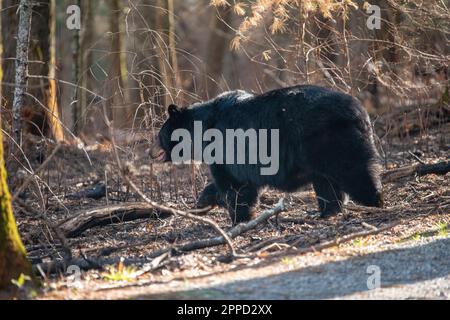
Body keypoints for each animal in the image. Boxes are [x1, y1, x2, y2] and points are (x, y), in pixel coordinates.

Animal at [151, 85, 384, 225]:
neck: (200, 130)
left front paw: (239, 218)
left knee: (354, 170)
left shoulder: (224, 148)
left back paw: (374, 201)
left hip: (330, 141)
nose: (151, 152)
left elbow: (234, 185)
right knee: (327, 183)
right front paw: (204, 199)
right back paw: (327, 212)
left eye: (159, 134)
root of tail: (360, 112)